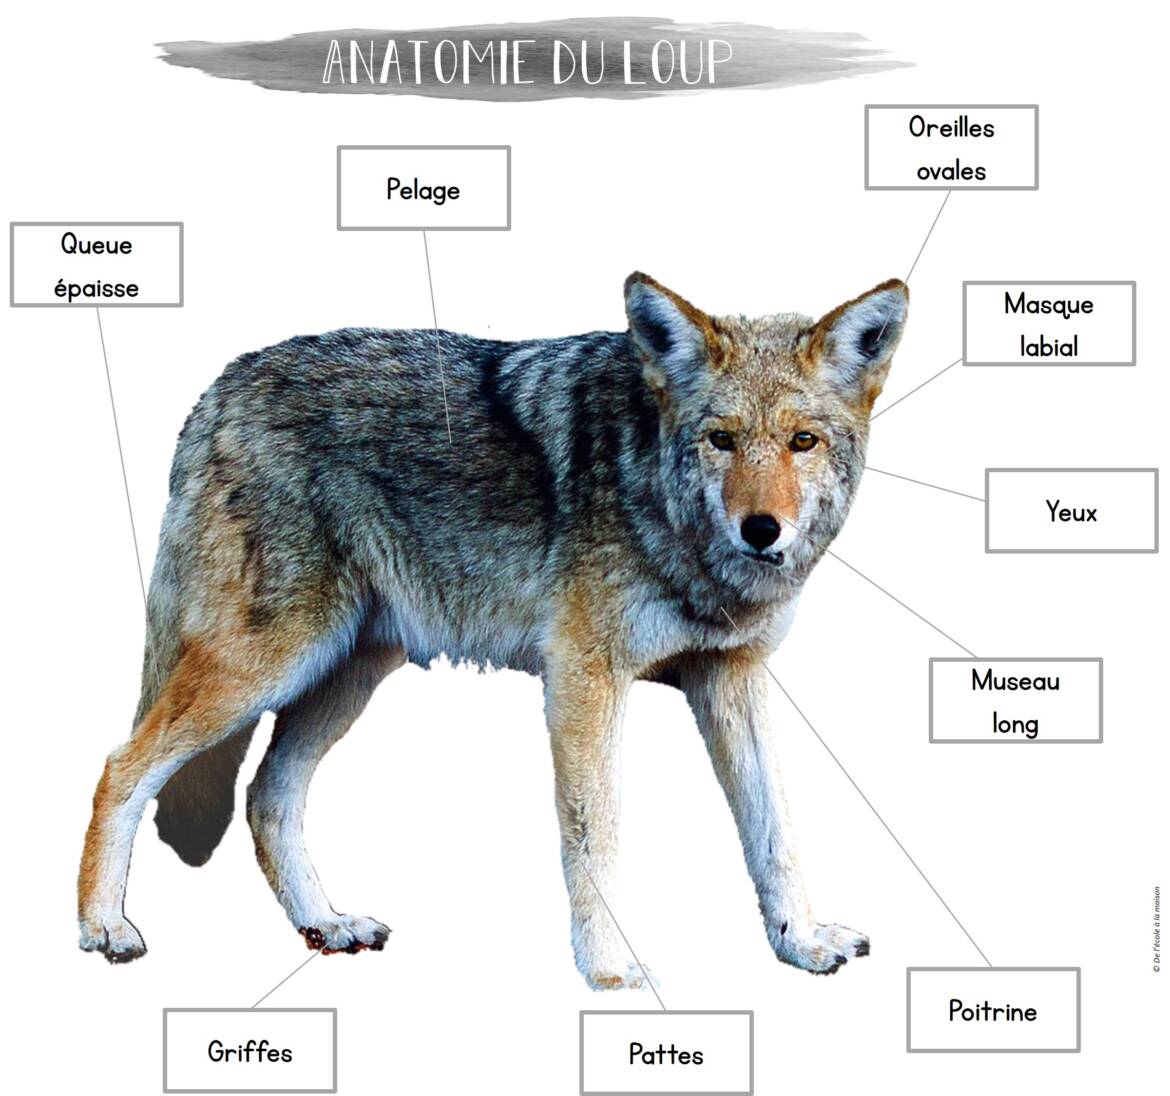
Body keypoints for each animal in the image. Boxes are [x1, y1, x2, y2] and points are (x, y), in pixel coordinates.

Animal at [78, 272, 907, 988]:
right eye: (722, 439)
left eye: (802, 441)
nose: (761, 530)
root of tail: (219, 388)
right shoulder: (584, 679)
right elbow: (596, 838)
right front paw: (610, 971)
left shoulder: (733, 676)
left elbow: (776, 832)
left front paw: (801, 942)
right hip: (266, 666)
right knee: (121, 766)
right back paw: (104, 928)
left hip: (342, 676)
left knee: (266, 795)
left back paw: (327, 924)